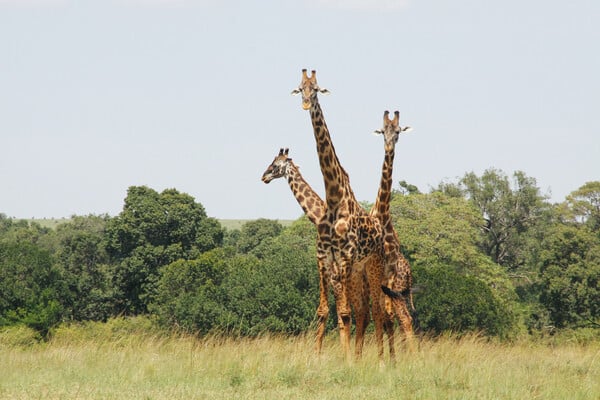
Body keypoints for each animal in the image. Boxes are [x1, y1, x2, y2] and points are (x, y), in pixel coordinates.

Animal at [292, 69, 390, 362]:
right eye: (299, 88)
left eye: (316, 89)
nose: (305, 104)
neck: (334, 199)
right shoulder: (326, 257)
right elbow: (328, 311)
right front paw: (318, 356)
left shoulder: (345, 256)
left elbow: (345, 312)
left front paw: (346, 361)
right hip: (357, 271)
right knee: (364, 311)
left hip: (371, 266)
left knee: (377, 310)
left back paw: (379, 359)